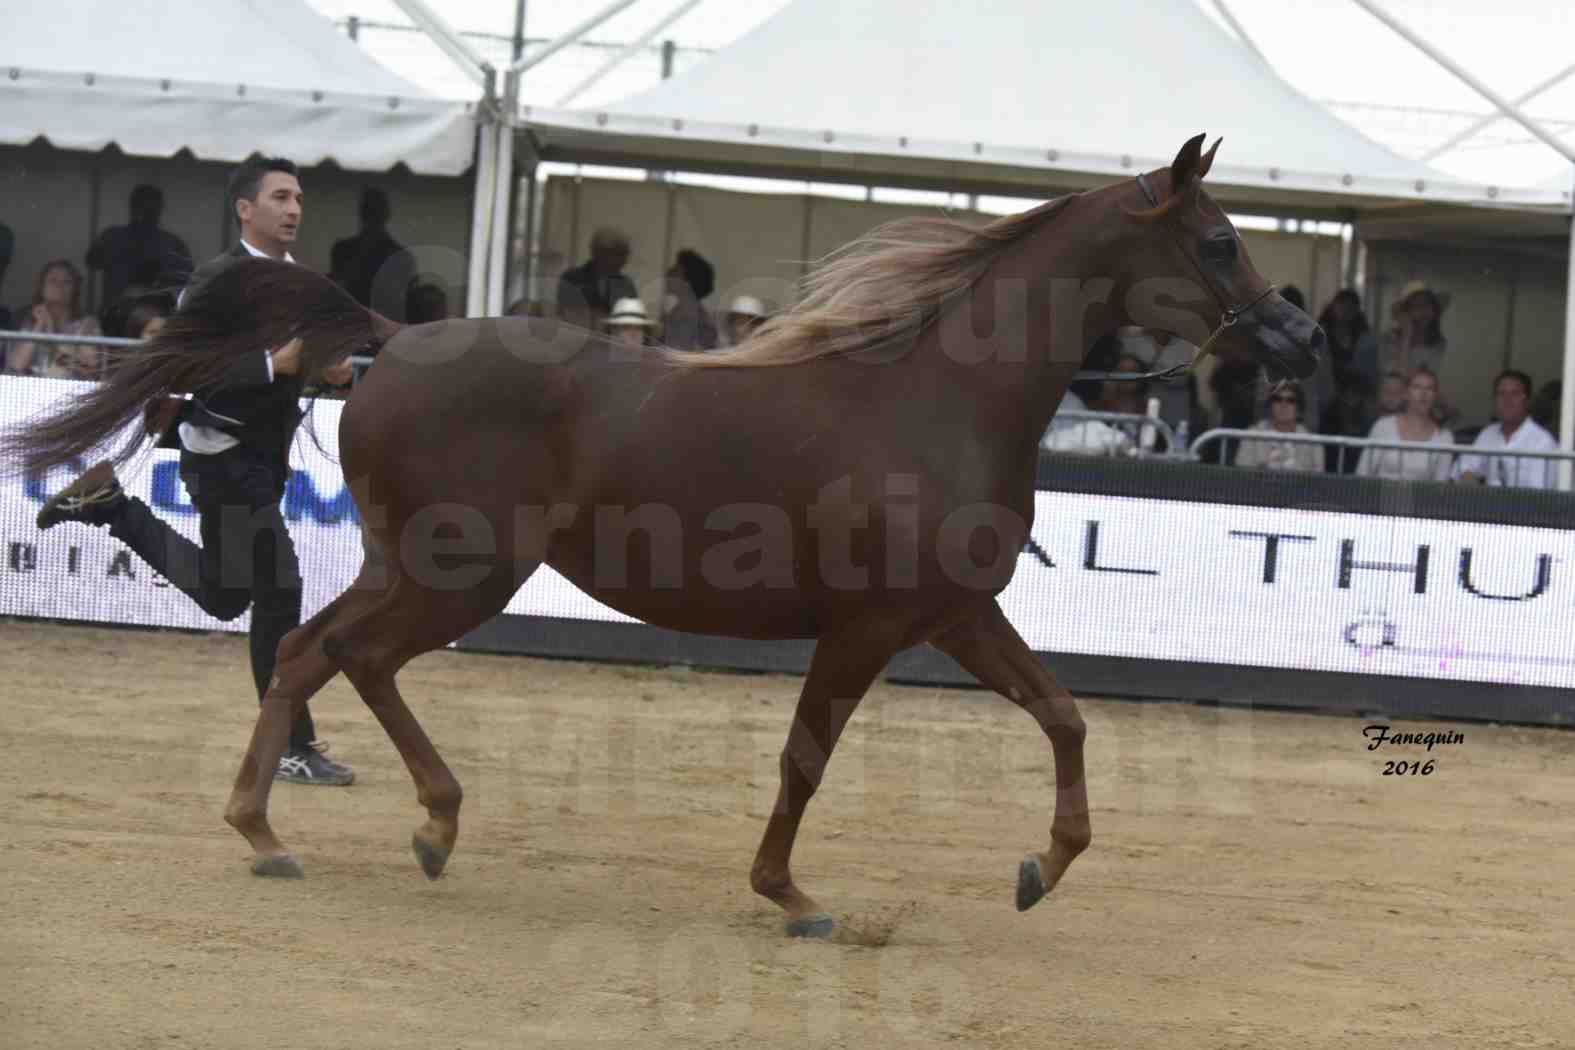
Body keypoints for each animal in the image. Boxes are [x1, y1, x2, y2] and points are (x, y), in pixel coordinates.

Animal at [9, 135, 1316, 938]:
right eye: (1216, 239)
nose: (1298, 336)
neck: (934, 393)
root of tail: (390, 340)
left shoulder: (952, 614)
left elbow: (1064, 714)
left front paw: (1041, 869)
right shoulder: (869, 627)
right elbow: (806, 758)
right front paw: (790, 896)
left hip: (428, 569)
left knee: (316, 649)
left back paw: (367, 827)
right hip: (459, 572)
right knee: (328, 652)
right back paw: (309, 826)